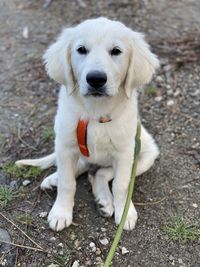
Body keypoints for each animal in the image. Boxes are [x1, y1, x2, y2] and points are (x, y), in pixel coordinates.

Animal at [16, 18, 159, 232]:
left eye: (116, 51)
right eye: (81, 50)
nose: (96, 79)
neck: (95, 111)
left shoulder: (125, 153)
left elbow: (121, 184)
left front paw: (125, 212)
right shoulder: (65, 146)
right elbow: (68, 182)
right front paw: (61, 212)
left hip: (145, 156)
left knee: (100, 174)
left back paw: (105, 201)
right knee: (83, 168)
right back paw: (55, 179)